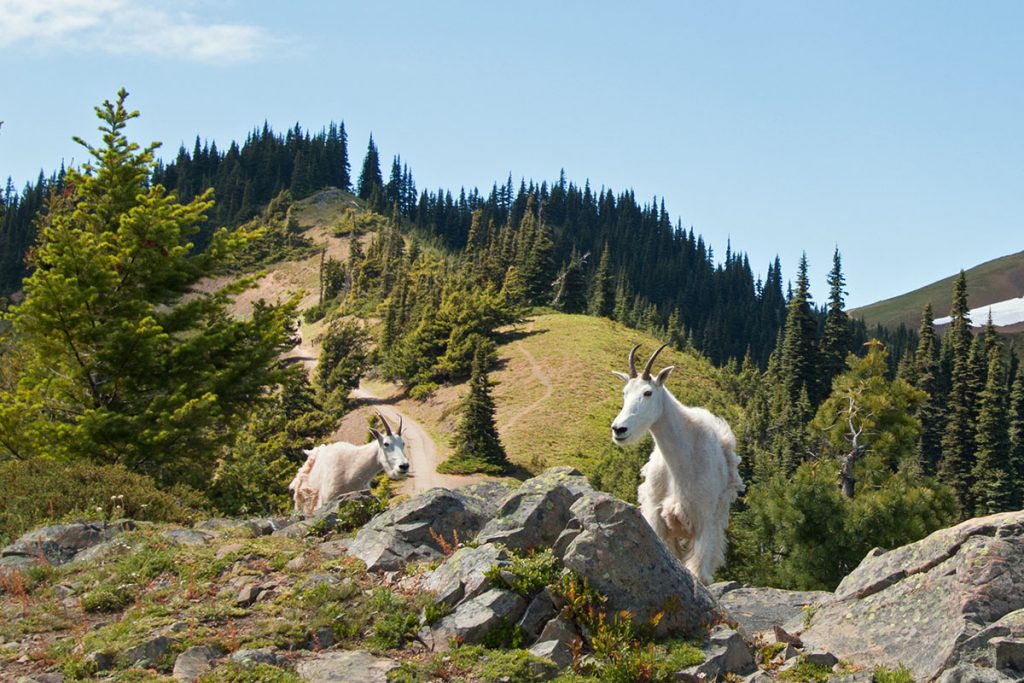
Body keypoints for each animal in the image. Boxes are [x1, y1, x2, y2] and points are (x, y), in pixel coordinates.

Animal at [606, 344, 745, 585]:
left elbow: (697, 568)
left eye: (648, 392)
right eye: (624, 393)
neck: (680, 461)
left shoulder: (704, 519)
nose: (619, 429)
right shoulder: (657, 517)